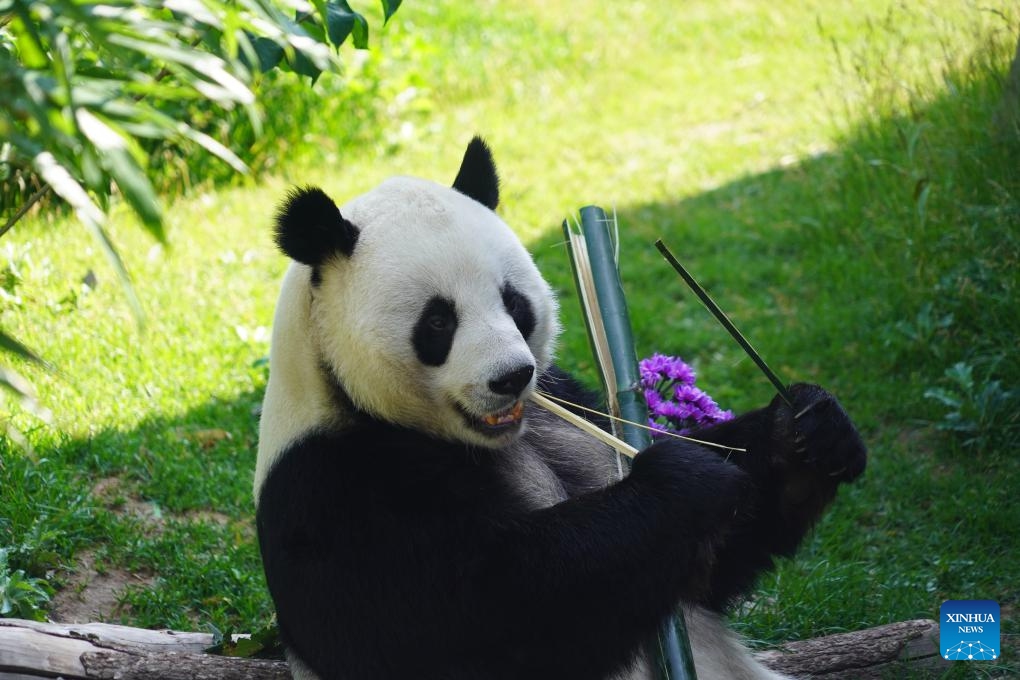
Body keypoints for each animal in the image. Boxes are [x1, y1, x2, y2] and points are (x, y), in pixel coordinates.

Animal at [254, 137, 866, 680]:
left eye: (513, 302)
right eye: (438, 321)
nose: (511, 377)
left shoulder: (568, 401)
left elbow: (715, 565)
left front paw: (806, 433)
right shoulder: (332, 486)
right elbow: (481, 613)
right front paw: (687, 482)